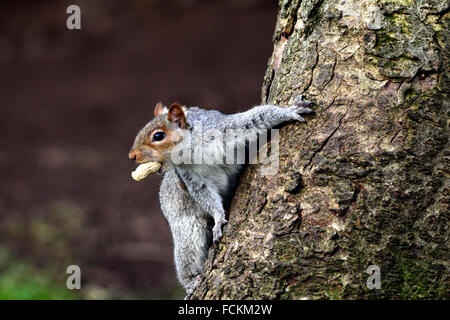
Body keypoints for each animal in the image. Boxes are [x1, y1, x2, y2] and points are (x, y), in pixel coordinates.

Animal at [128, 95, 312, 298]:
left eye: (158, 136)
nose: (132, 156)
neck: (193, 149)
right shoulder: (191, 178)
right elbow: (205, 196)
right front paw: (218, 218)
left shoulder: (225, 129)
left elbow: (255, 117)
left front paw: (290, 110)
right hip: (186, 230)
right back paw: (191, 283)